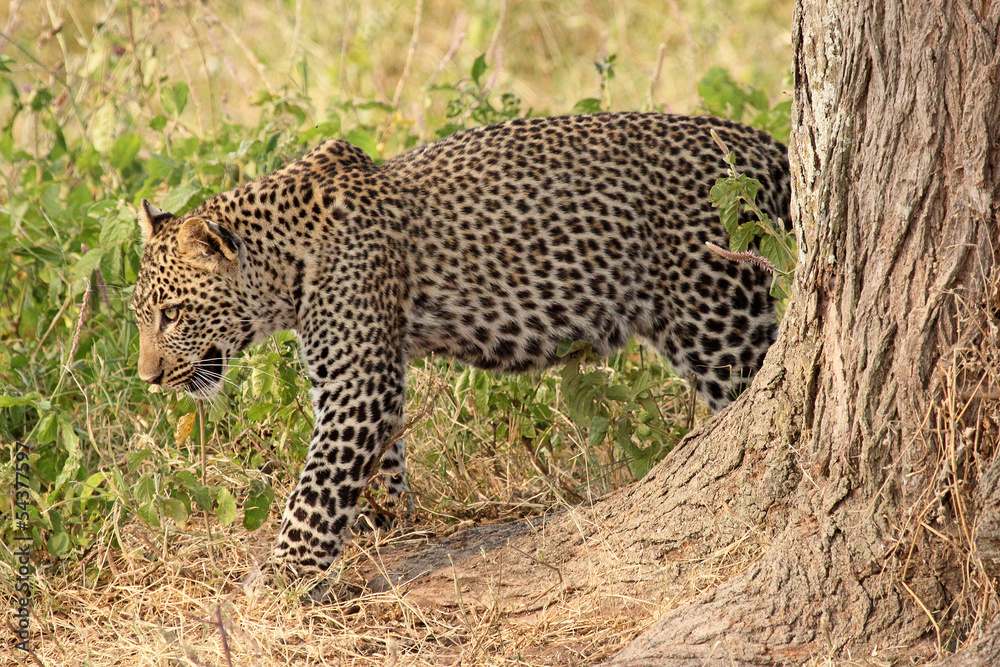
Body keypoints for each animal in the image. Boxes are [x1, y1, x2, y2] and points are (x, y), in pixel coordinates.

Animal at [130, 112, 790, 575]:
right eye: (141, 317)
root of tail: (770, 147)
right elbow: (380, 458)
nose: (148, 379)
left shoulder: (356, 379)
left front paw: (286, 572)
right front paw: (387, 518)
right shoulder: (371, 369)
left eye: (173, 314)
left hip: (720, 321)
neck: (281, 267)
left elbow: (317, 481)